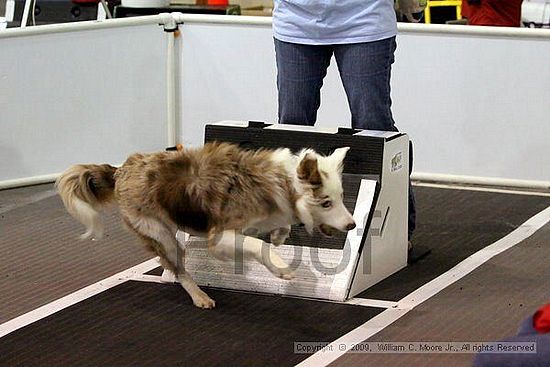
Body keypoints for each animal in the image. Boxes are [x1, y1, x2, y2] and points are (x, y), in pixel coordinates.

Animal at [57, 142, 358, 310]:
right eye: (326, 202)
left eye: (341, 196)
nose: (352, 224)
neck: (281, 182)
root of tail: (121, 169)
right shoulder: (220, 236)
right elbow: (257, 245)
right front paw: (281, 268)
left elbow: (265, 238)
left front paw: (278, 236)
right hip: (161, 235)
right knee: (178, 269)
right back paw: (199, 297)